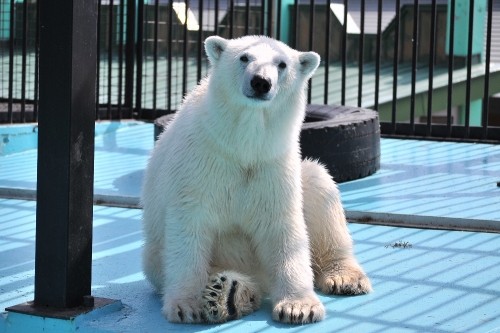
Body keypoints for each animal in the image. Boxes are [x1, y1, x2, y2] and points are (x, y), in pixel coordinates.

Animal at [142, 35, 372, 322]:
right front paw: (186, 306)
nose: (261, 82)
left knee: (320, 186)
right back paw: (228, 292)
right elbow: (189, 228)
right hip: (155, 256)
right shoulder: (200, 162)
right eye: (244, 57)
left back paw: (345, 278)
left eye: (281, 64)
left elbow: (284, 229)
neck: (242, 143)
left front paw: (299, 307)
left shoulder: (272, 163)